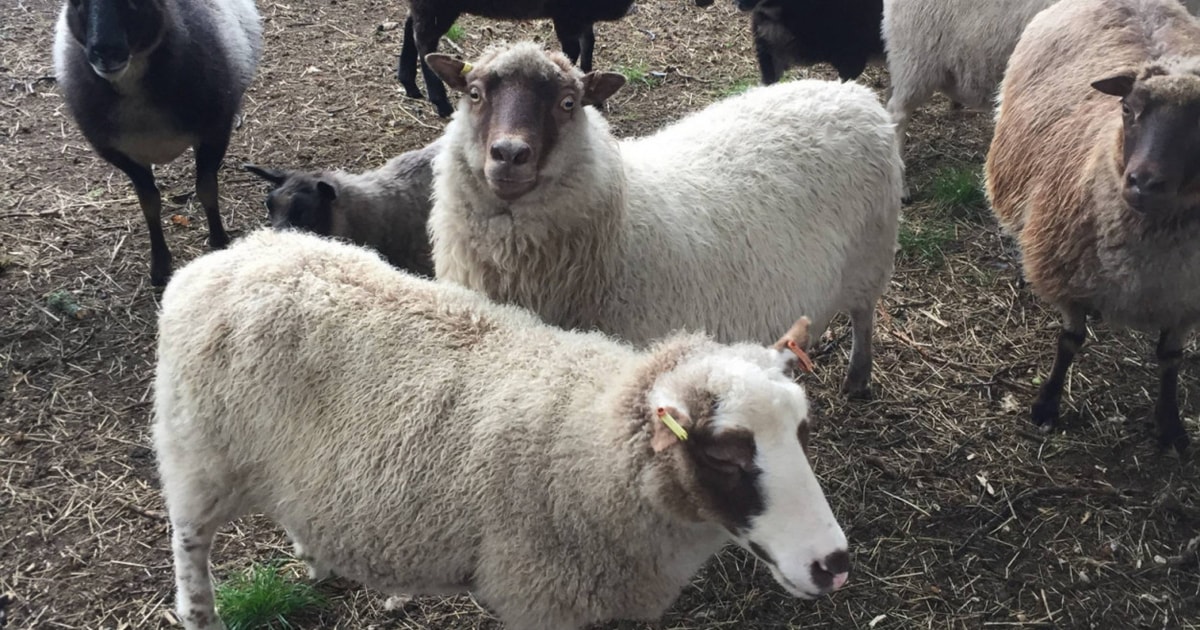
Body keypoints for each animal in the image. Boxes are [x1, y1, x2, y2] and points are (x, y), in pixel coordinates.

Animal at [52, 0, 262, 287]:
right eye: (77, 3)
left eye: (135, 3)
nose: (105, 53)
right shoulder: (121, 154)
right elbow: (149, 203)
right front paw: (160, 266)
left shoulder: (214, 132)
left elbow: (207, 189)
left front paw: (219, 243)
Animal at [154, 227, 851, 630]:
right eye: (727, 457)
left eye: (803, 432)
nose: (835, 564)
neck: (586, 447)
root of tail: (233, 256)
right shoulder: (538, 597)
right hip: (198, 451)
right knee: (189, 542)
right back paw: (200, 614)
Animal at [397, 0, 713, 118]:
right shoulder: (567, 13)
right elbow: (570, 52)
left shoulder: (582, 14)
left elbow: (587, 45)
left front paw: (594, 94)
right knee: (424, 41)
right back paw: (440, 102)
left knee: (411, 27)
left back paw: (409, 84)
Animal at [424, 42, 903, 398]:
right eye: (474, 93)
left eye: (568, 103)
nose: (509, 154)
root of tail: (852, 93)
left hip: (871, 256)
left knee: (863, 316)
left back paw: (858, 379)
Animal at [985, 0, 1200, 452]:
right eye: (1127, 109)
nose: (1143, 183)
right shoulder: (1066, 274)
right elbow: (1070, 341)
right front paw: (1047, 406)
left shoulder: (1185, 300)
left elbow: (1170, 359)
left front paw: (1170, 425)